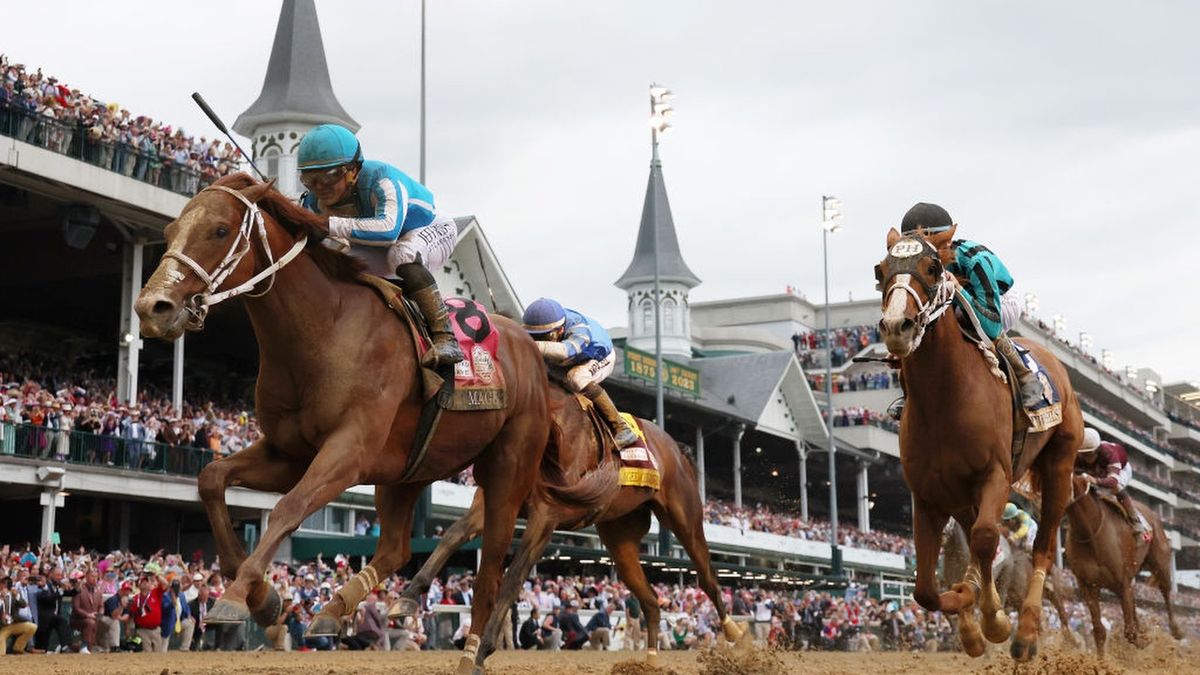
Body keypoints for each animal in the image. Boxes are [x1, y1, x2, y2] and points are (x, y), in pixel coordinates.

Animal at [133, 172, 609, 662]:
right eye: (170, 231)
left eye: (220, 230)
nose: (152, 308)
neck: (324, 331)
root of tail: (533, 351)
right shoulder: (288, 454)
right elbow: (212, 479)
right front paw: (263, 599)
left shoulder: (350, 451)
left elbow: (289, 507)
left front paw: (237, 595)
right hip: (408, 471)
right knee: (397, 548)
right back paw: (341, 608)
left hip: (507, 471)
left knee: (494, 562)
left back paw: (473, 648)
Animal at [398, 386, 744, 667]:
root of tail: (677, 449)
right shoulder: (491, 502)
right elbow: (451, 536)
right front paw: (407, 597)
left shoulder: (546, 515)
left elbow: (512, 577)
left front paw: (482, 650)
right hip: (620, 538)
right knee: (650, 601)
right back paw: (650, 660)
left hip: (685, 518)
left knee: (708, 579)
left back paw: (736, 636)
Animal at [873, 227, 1089, 662]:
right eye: (880, 270)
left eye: (932, 267)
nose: (897, 326)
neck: (944, 399)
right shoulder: (929, 496)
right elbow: (926, 590)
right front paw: (969, 620)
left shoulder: (995, 476)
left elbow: (988, 539)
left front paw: (995, 621)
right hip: (963, 498)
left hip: (1059, 466)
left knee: (1042, 548)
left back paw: (1025, 633)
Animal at [1065, 470, 1185, 653]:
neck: (1090, 532)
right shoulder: (1088, 586)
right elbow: (1099, 631)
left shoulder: (1122, 581)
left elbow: (1130, 632)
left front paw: (1143, 640)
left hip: (1160, 563)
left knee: (1165, 590)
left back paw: (1176, 630)